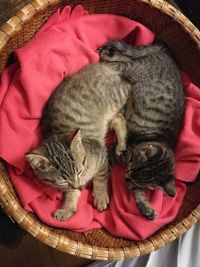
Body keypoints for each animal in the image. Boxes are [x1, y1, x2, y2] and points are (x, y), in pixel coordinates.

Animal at [98, 39, 184, 220]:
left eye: (139, 180)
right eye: (130, 161)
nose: (126, 175)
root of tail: (167, 52)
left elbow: (139, 194)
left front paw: (147, 209)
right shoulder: (114, 152)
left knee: (127, 58)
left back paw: (109, 53)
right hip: (135, 69)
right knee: (121, 63)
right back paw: (106, 56)